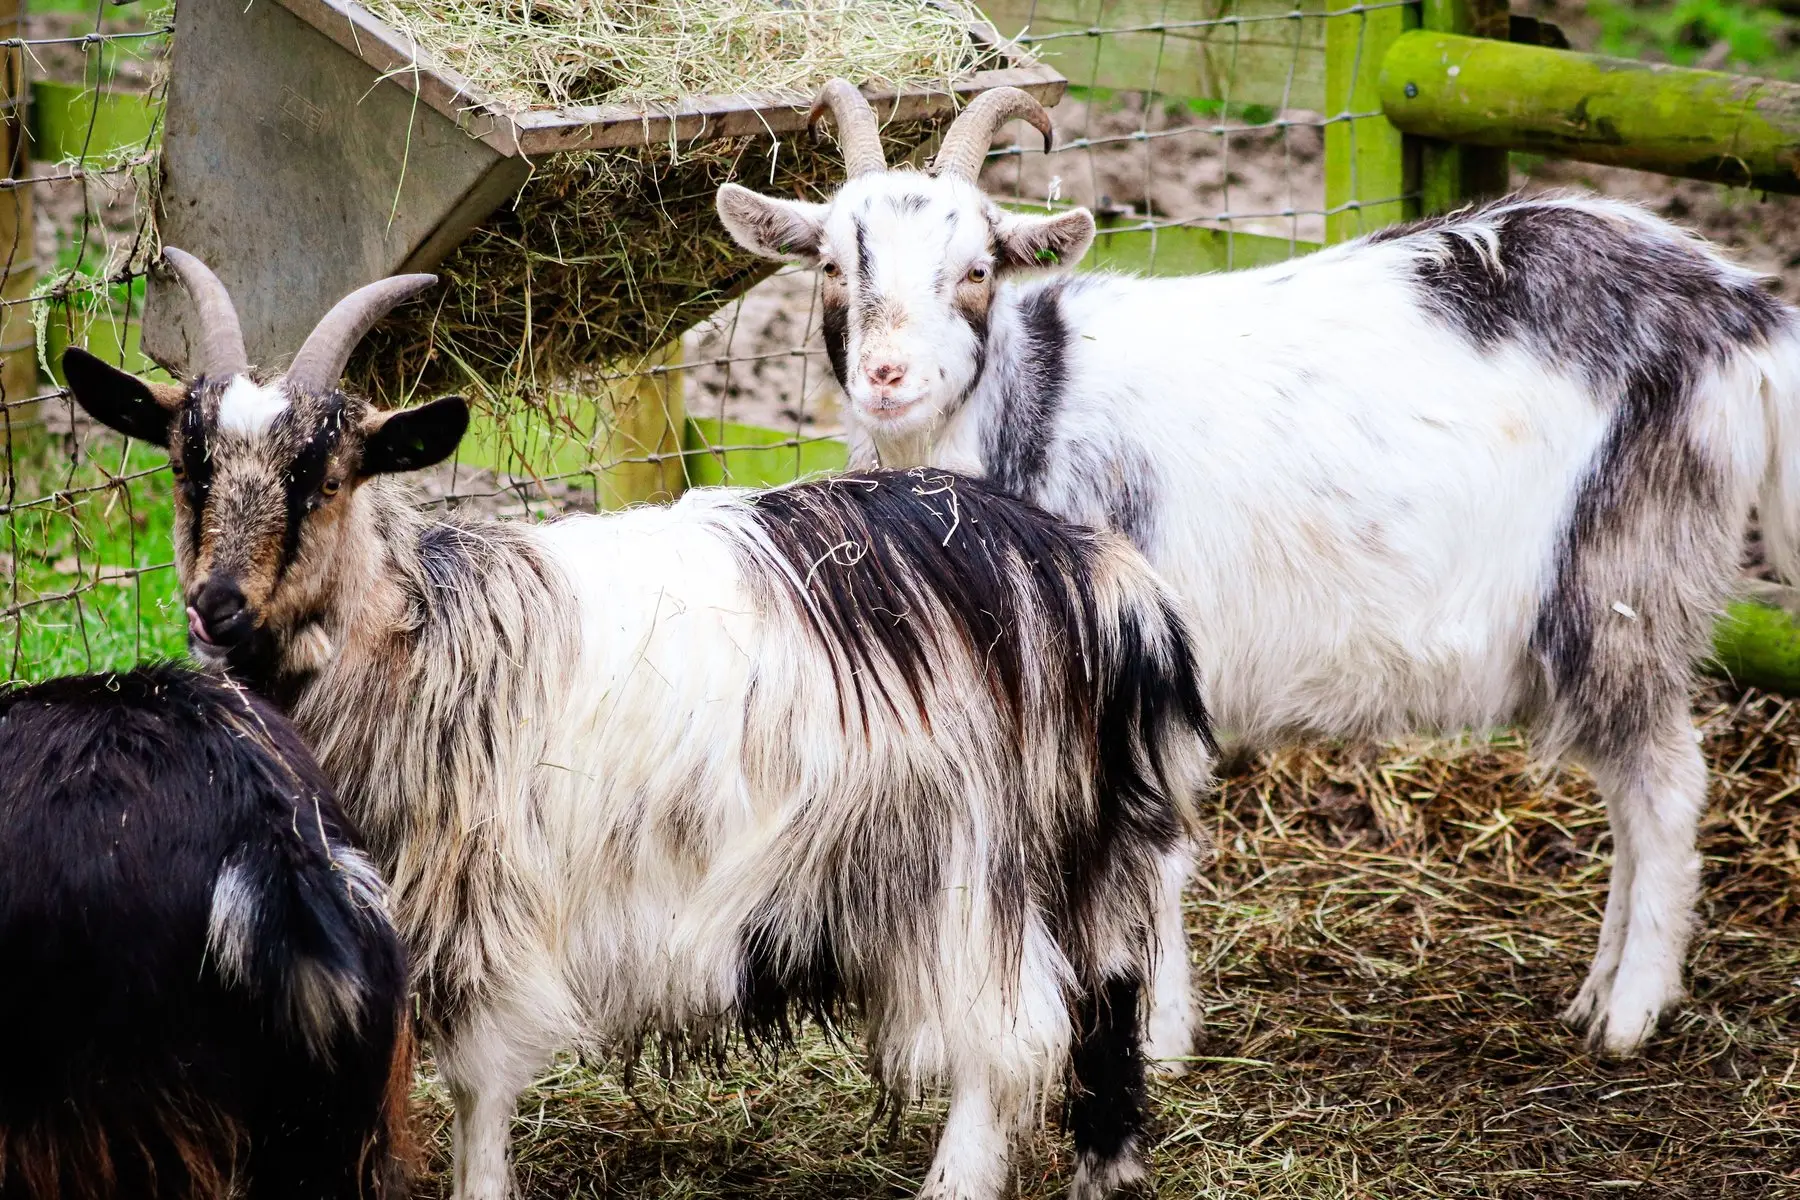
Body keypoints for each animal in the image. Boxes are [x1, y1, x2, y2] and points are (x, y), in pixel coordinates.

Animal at [61, 251, 1215, 1200]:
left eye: (321, 474)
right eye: (189, 466)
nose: (217, 607)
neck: (423, 633)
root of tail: (1097, 579)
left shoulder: (487, 903)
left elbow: (481, 1088)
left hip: (966, 863)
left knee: (1010, 1039)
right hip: (1085, 843)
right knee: (1109, 990)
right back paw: (1105, 1169)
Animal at [716, 80, 1800, 1057]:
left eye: (977, 269)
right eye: (830, 266)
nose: (888, 377)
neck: (1029, 407)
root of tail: (1742, 311)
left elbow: (1151, 853)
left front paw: (1153, 1038)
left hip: (1623, 576)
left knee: (1665, 783)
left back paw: (1629, 1015)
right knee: (1628, 790)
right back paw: (1596, 992)